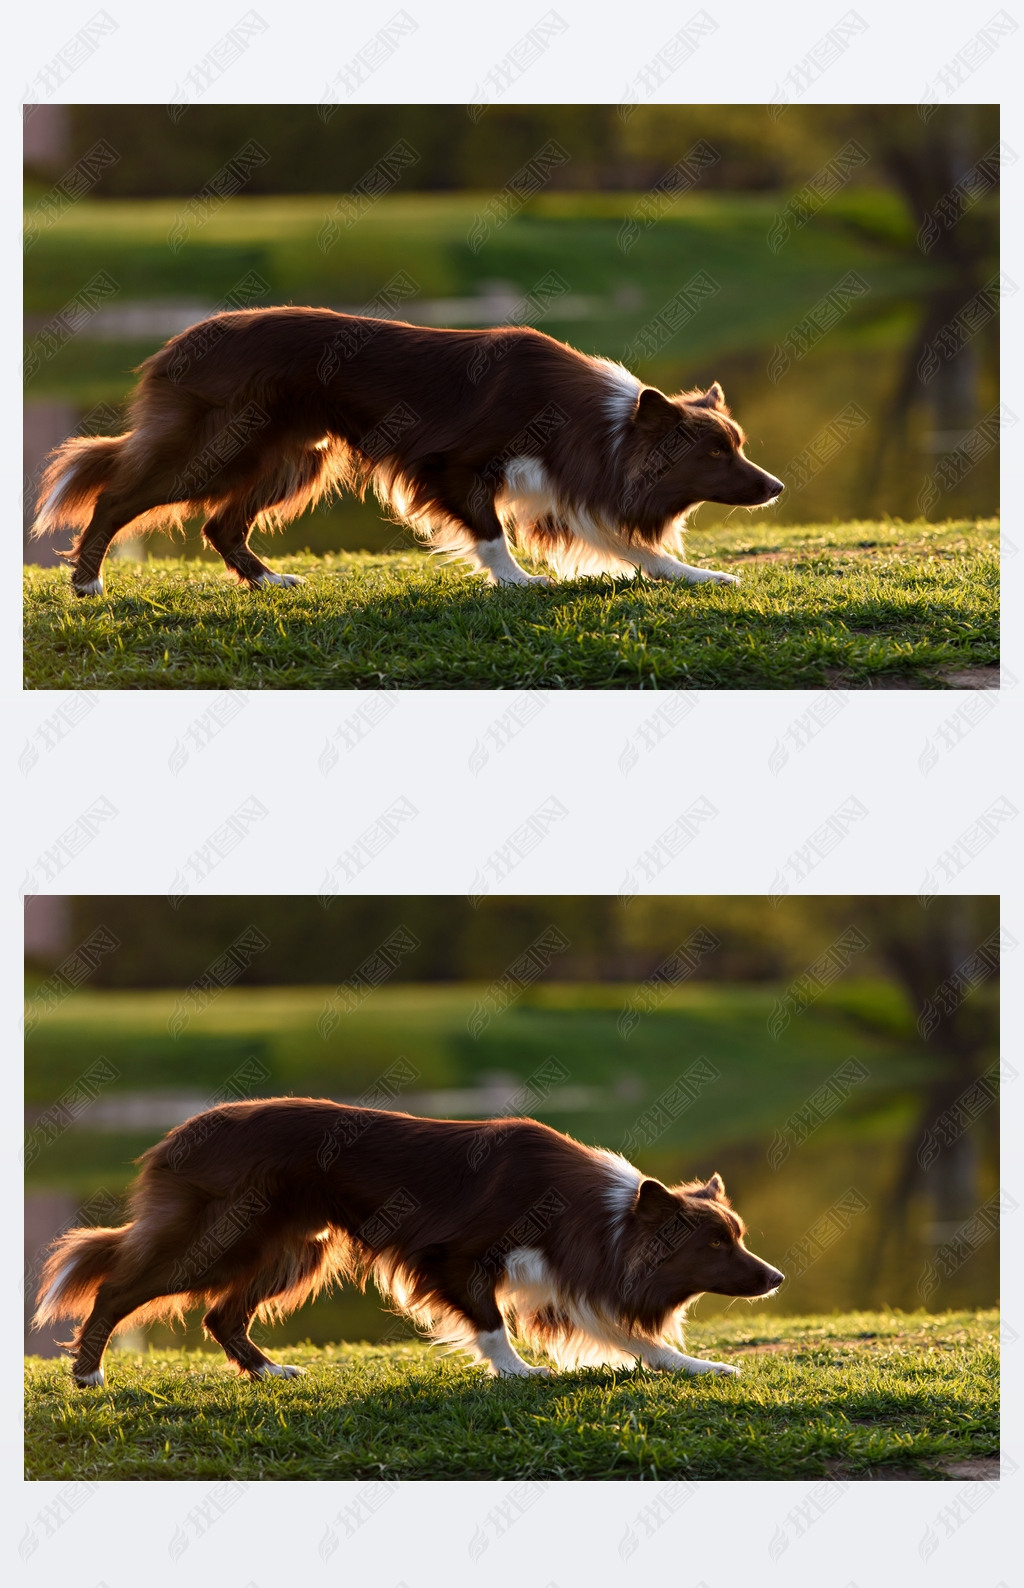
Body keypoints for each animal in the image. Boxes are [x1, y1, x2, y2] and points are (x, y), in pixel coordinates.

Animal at [31, 306, 784, 593]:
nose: (776, 487)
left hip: (295, 458)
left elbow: (631, 544)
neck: (602, 425)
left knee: (221, 524)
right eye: (716, 455)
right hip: (218, 450)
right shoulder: (451, 465)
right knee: (116, 496)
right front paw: (517, 582)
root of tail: (177, 340)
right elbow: (490, 529)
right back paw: (87, 581)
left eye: (737, 447)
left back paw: (268, 581)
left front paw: (700, 576)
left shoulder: (571, 484)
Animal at [33, 1098, 784, 1384]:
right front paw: (517, 1373)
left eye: (737, 1238)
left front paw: (701, 1367)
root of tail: (177, 1132)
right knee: (117, 1287)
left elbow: (632, 1335)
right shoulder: (451, 1256)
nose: (777, 1279)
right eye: (716, 1246)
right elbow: (490, 1320)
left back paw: (268, 1372)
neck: (602, 1216)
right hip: (221, 1241)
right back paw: (88, 1372)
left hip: (295, 1249)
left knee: (222, 1314)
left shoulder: (571, 1274)